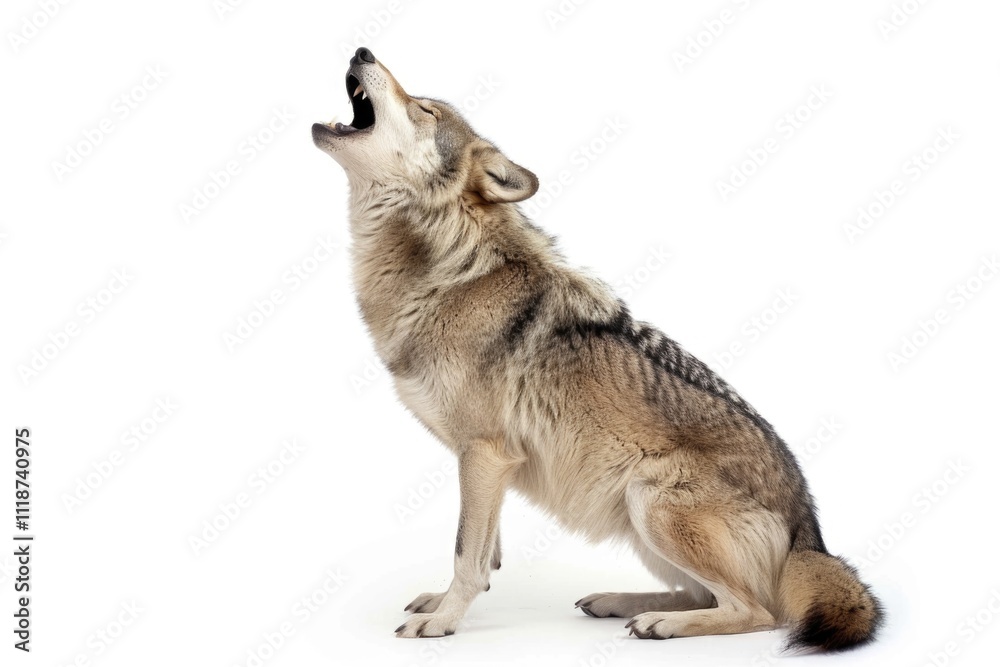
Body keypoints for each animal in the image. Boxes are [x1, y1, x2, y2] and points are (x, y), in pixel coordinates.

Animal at [312, 47, 883, 651]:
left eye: (423, 108)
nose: (362, 51)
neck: (449, 266)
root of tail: (809, 536)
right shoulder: (486, 465)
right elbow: (484, 550)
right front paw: (446, 601)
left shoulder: (486, 453)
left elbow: (466, 550)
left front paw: (443, 621)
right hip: (637, 520)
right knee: (705, 595)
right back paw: (622, 603)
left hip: (650, 499)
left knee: (756, 611)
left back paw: (659, 623)